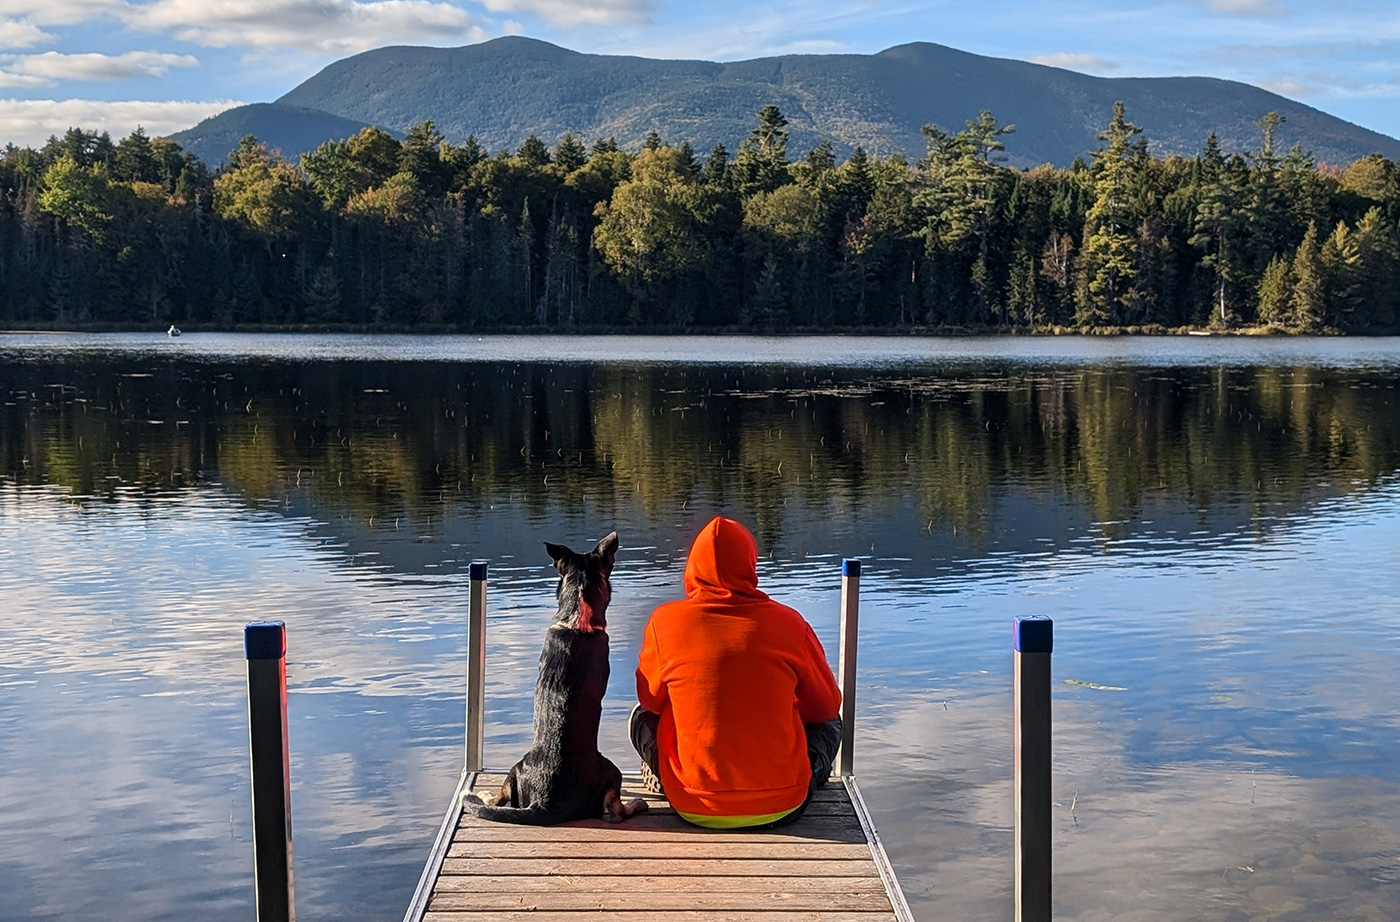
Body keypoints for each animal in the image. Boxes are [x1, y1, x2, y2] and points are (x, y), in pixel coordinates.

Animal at [464, 528, 649, 828]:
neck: (577, 617)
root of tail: (544, 802)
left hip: (516, 769)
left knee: (500, 797)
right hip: (612, 770)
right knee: (615, 812)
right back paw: (636, 804)